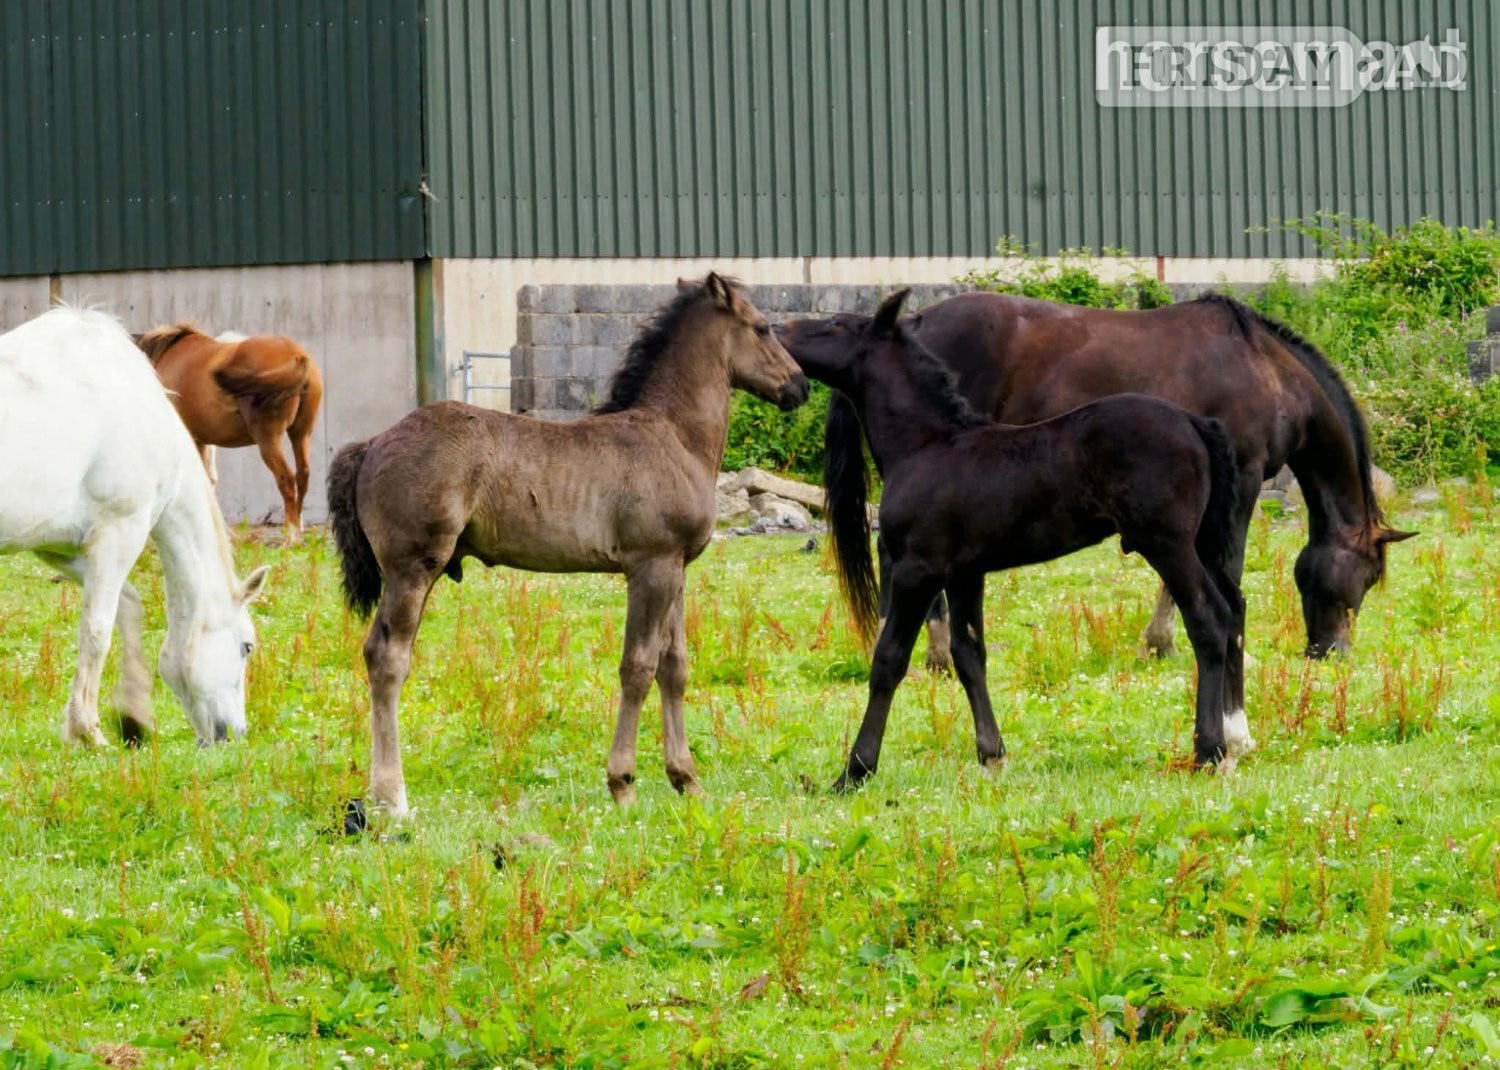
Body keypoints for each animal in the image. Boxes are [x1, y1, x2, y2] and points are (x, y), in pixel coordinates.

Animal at [0, 306, 270, 746]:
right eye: (247, 646)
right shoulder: (118, 534)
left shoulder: (63, 549)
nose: (234, 734)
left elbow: (127, 606)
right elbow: (97, 631)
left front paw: (132, 716)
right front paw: (89, 731)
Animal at [136, 324, 323, 539]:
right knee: (302, 476)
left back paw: (291, 536)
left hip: (269, 437)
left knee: (286, 479)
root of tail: (297, 355)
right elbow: (209, 480)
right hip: (301, 434)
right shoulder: (201, 439)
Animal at [327, 274, 809, 815]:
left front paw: (686, 779)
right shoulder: (651, 566)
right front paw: (623, 783)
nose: (800, 386)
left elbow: (674, 666)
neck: (673, 437)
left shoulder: (677, 569)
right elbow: (637, 666)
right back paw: (391, 797)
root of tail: (372, 444)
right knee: (386, 658)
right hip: (412, 567)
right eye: (763, 327)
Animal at [778, 289, 1246, 790]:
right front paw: (991, 755)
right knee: (1231, 609)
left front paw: (854, 770)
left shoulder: (917, 569)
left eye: (836, 326)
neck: (926, 444)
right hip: (1199, 543)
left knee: (1209, 619)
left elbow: (889, 659)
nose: (776, 329)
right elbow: (969, 654)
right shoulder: (964, 573)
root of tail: (1195, 422)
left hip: (1167, 543)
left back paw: (1209, 750)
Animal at [820, 290, 1414, 667]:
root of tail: (909, 324)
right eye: (1366, 578)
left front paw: (1163, 642)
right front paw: (1181, 643)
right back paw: (938, 651)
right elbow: (1225, 564)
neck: (1265, 370)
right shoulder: (1242, 479)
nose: (1331, 652)